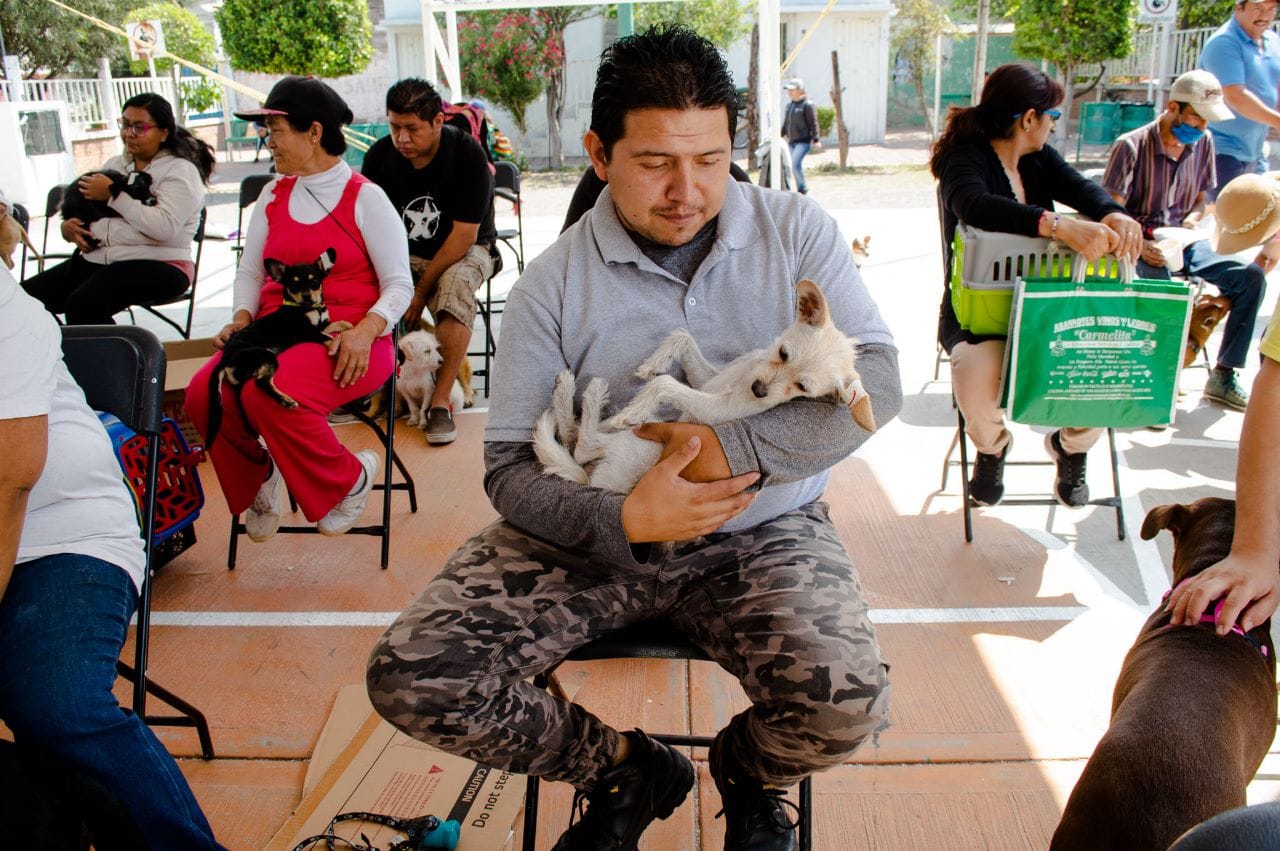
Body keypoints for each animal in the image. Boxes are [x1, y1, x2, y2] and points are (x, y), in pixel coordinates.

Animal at [532, 278, 880, 491]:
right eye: (783, 353)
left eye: (803, 389)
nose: (759, 392)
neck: (745, 377)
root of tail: (597, 484)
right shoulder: (708, 380)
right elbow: (682, 337)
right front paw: (654, 363)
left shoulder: (717, 408)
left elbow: (665, 384)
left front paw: (636, 403)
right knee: (574, 437)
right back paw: (570, 391)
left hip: (642, 443)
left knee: (582, 445)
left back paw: (595, 396)